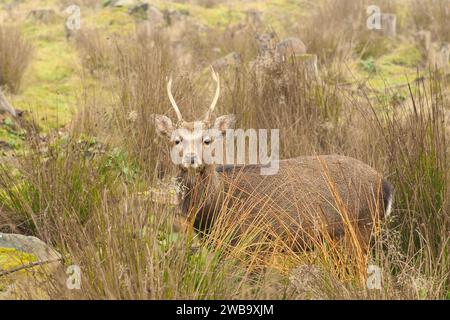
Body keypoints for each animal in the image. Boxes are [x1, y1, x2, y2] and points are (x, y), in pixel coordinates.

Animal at [153, 69, 392, 250]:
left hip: (361, 228)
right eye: (176, 140)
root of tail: (385, 185)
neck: (217, 209)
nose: (191, 159)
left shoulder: (256, 242)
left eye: (207, 140)